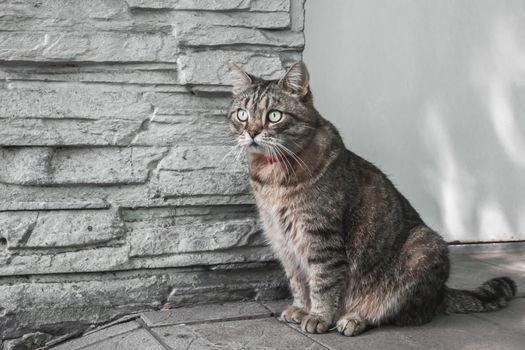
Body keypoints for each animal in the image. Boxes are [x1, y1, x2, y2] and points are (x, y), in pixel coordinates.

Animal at [226, 61, 516, 334]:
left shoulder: (321, 237)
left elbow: (323, 282)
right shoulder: (282, 240)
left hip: (424, 245)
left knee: (405, 313)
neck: (272, 176)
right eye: (242, 115)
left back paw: (355, 318)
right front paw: (300, 308)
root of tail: (443, 292)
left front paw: (318, 316)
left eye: (274, 116)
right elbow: (298, 281)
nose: (252, 132)